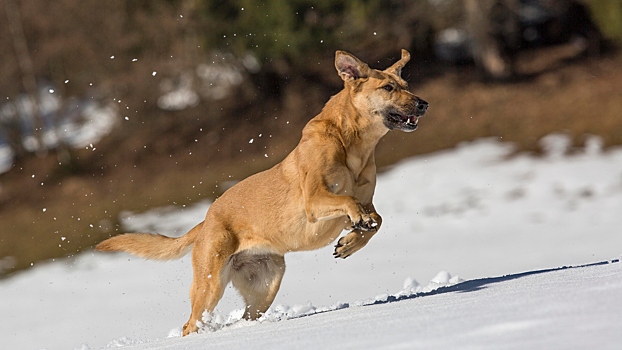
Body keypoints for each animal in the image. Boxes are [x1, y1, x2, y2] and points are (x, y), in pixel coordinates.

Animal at [96, 47, 428, 334]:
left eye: (405, 84)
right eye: (388, 87)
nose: (423, 104)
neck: (354, 146)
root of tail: (206, 221)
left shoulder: (365, 202)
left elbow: (376, 219)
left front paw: (350, 243)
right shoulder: (314, 201)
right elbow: (347, 201)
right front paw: (354, 230)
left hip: (265, 285)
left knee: (246, 316)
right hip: (210, 284)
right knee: (190, 324)